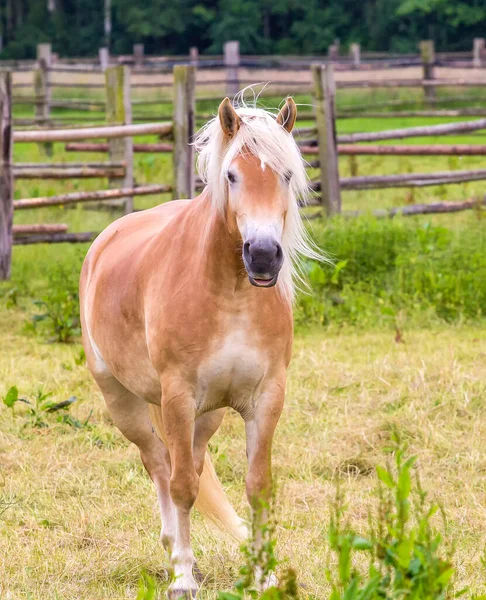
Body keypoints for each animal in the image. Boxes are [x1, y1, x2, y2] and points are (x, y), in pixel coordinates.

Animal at [80, 96, 322, 596]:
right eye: (231, 175)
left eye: (287, 175)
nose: (263, 255)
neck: (230, 295)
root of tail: (105, 240)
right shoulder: (177, 397)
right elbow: (182, 488)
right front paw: (183, 578)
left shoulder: (266, 398)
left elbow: (257, 486)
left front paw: (264, 575)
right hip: (123, 401)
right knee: (159, 465)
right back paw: (173, 549)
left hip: (207, 417)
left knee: (184, 462)